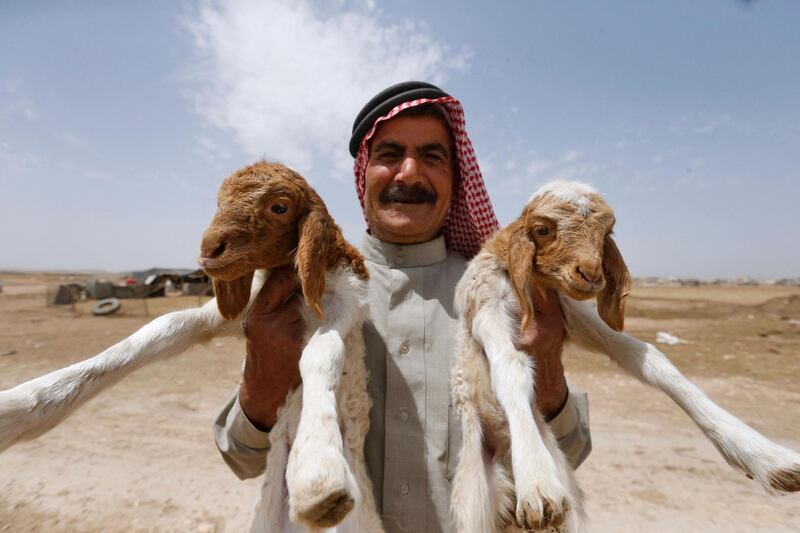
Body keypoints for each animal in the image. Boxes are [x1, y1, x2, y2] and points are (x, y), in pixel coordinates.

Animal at [0, 161, 384, 532]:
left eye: (279, 206)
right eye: (219, 201)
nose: (208, 250)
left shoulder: (346, 306)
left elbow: (321, 353)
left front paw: (318, 473)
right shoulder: (236, 312)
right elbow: (162, 329)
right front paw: (22, 405)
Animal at [450, 181, 800, 528]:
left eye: (606, 233)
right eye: (542, 229)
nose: (591, 273)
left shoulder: (569, 313)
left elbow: (646, 357)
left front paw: (766, 456)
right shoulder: (486, 307)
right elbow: (511, 369)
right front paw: (537, 484)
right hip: (473, 499)